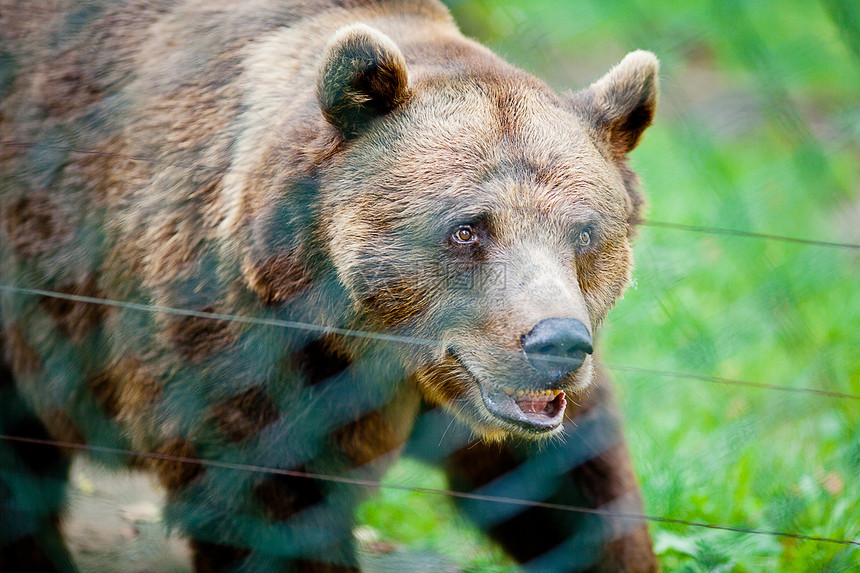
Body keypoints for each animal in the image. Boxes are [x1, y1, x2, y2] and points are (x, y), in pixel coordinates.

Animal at [0, 1, 660, 572]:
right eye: (466, 229)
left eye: (584, 233)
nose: (556, 344)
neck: (377, 344)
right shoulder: (237, 348)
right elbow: (269, 505)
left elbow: (571, 494)